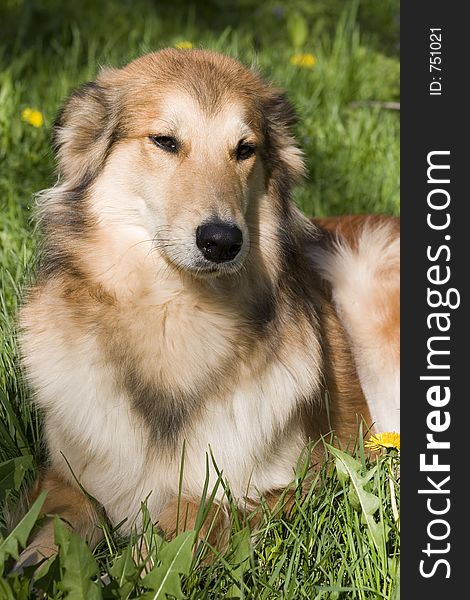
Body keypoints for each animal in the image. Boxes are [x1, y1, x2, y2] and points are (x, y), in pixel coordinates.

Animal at [19, 49, 400, 560]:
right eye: (164, 141)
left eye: (245, 150)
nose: (222, 242)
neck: (174, 314)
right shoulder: (64, 476)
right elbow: (58, 522)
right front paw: (33, 561)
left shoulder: (298, 483)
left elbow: (191, 516)